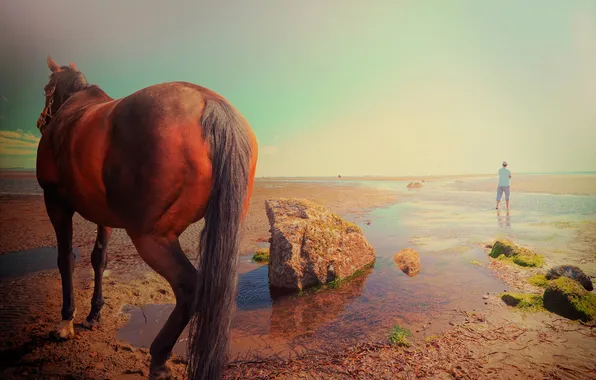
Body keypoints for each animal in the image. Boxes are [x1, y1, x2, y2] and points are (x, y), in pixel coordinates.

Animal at [35, 57, 258, 380]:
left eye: (45, 88)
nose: (41, 122)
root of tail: (211, 103)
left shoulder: (55, 202)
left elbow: (65, 259)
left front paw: (65, 322)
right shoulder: (104, 215)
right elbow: (99, 259)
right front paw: (93, 314)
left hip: (150, 237)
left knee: (189, 288)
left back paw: (159, 357)